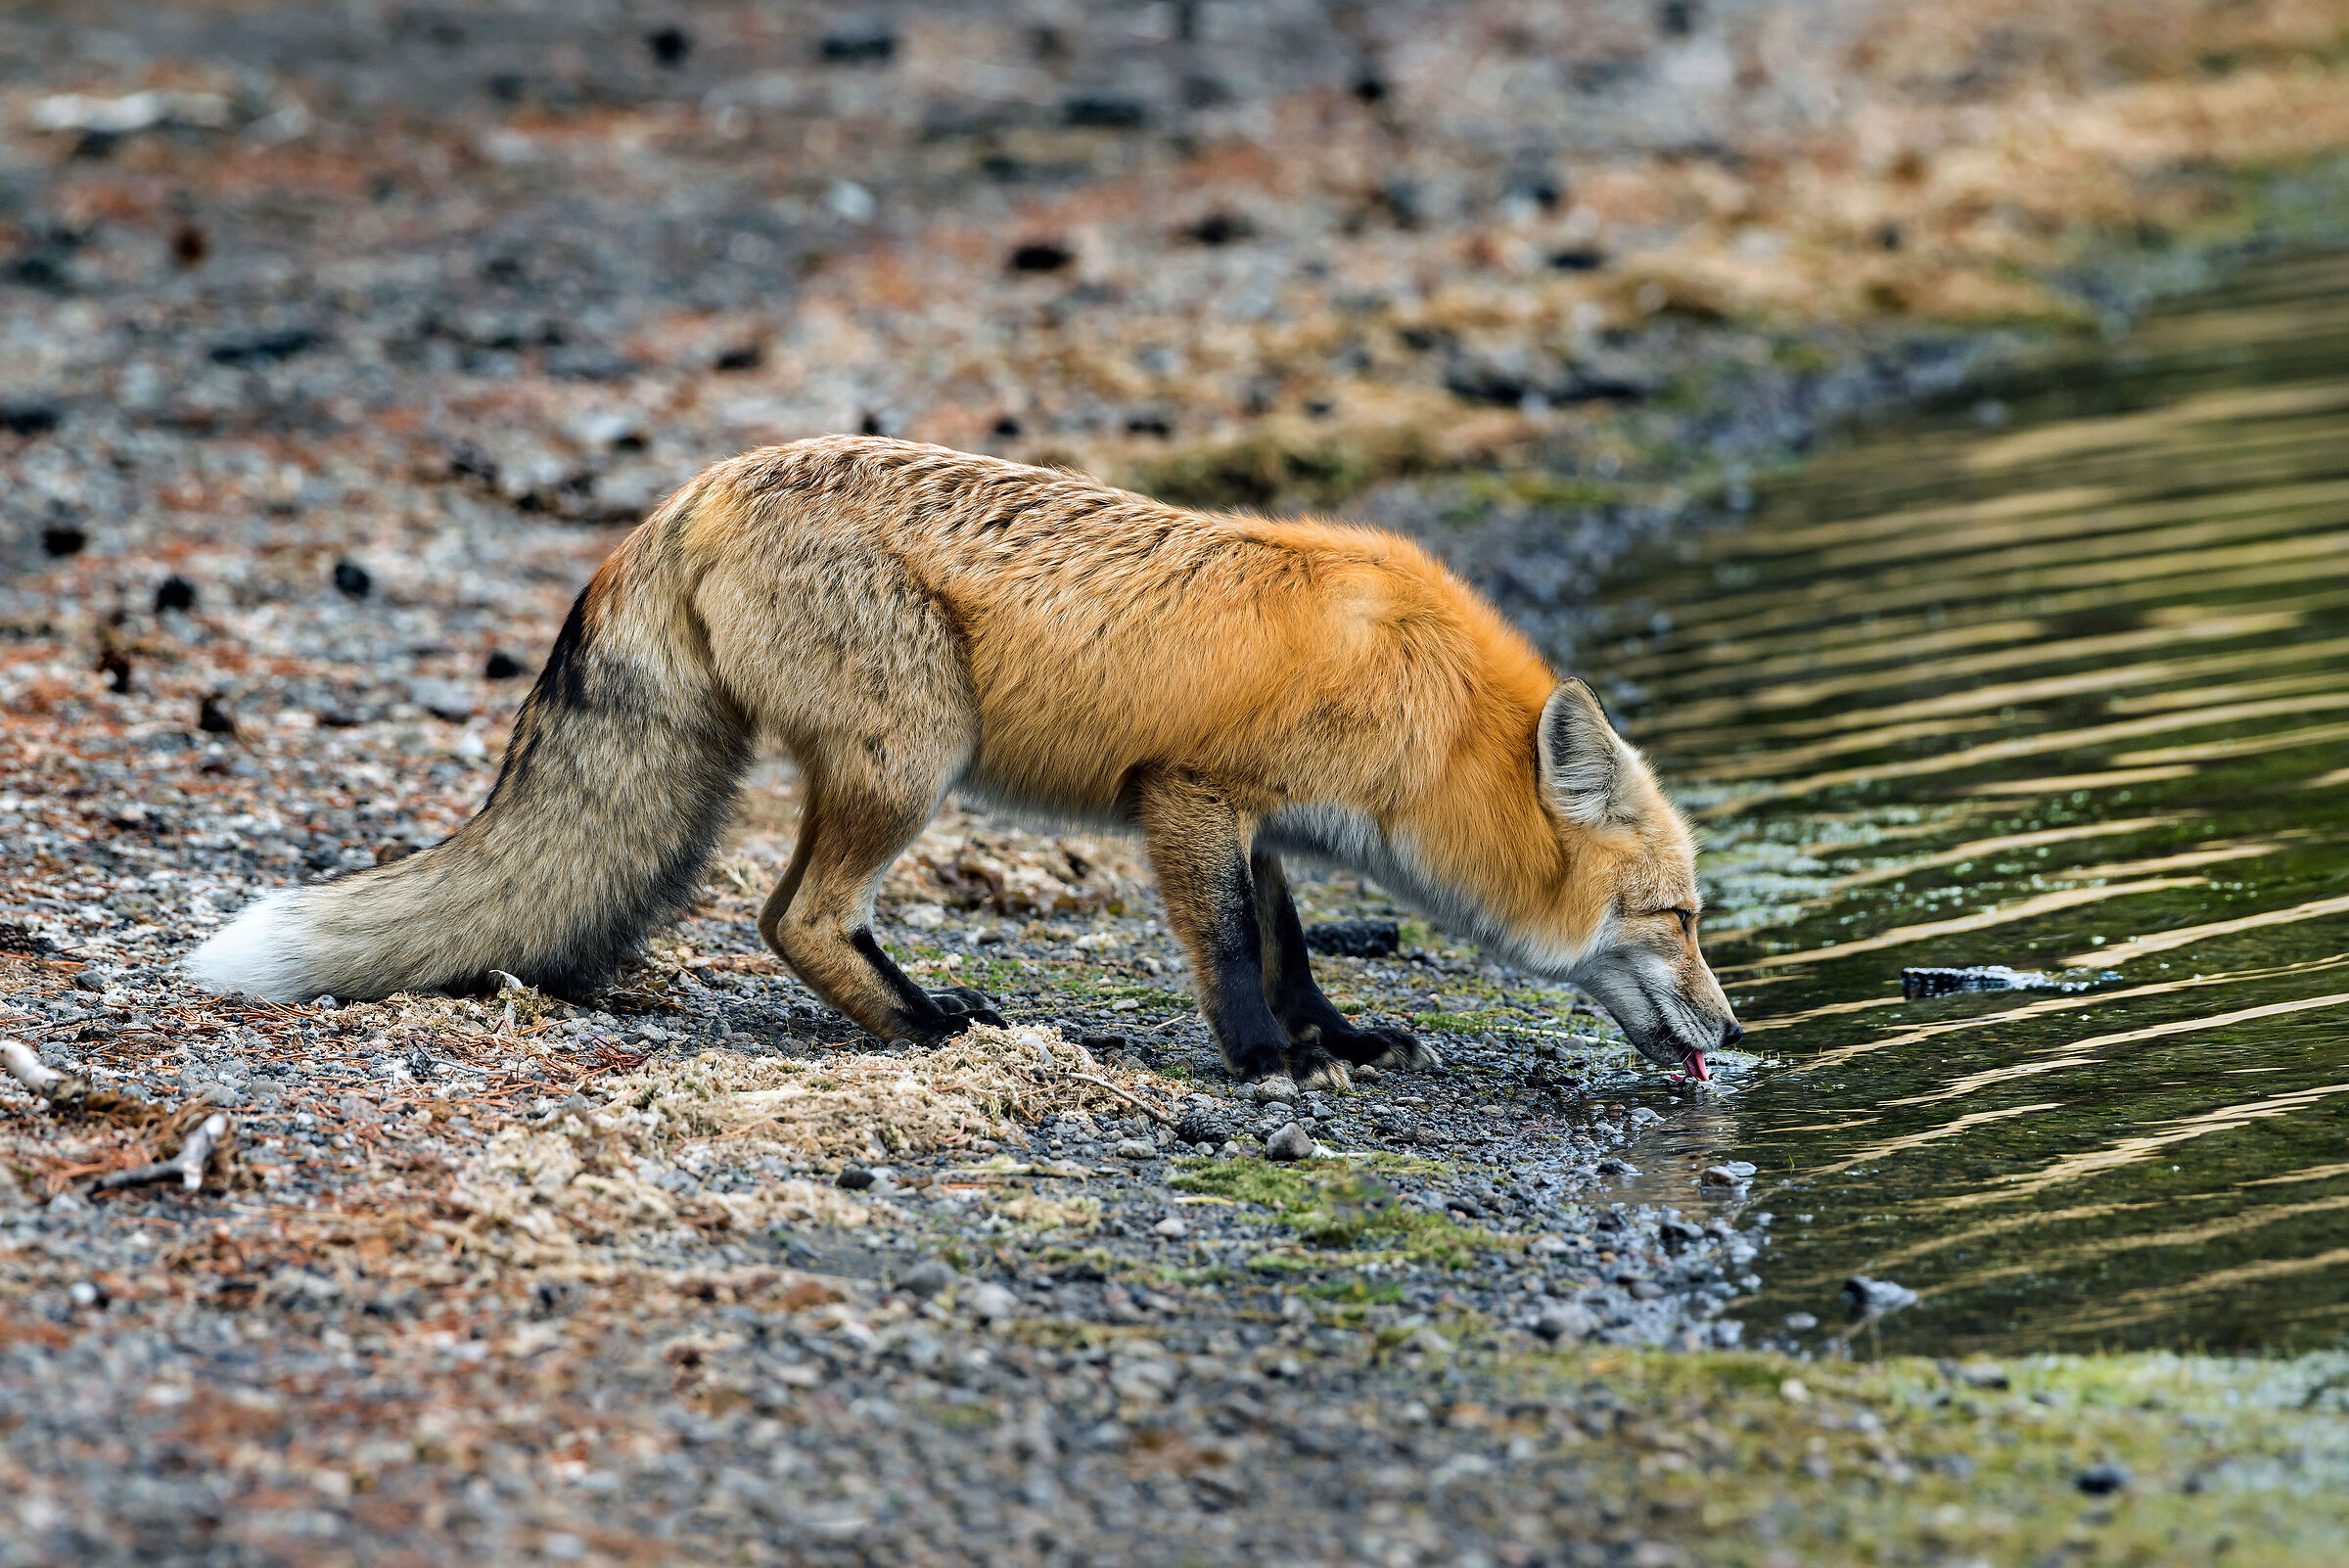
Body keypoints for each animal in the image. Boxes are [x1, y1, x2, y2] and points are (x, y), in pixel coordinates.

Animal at [187, 436, 1740, 1088]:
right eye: (1677, 916)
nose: (1733, 1033)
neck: (1430, 707)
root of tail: (692, 489)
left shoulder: (1259, 819)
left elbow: (1291, 944)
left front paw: (1334, 1040)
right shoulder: (1187, 795)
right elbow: (1231, 954)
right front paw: (1261, 1067)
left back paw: (935, 1014)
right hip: (917, 754)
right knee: (793, 916)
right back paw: (932, 1029)